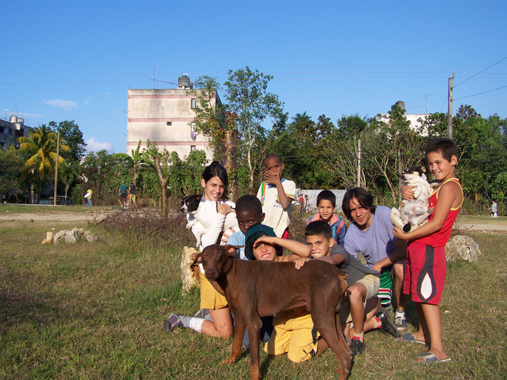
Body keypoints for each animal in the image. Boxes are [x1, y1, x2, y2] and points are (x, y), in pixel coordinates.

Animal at [196, 245, 352, 378]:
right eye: (203, 257)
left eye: (219, 255)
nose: (209, 273)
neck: (231, 274)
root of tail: (339, 273)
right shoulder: (240, 318)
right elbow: (236, 344)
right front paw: (231, 360)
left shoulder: (253, 323)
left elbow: (254, 362)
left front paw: (255, 376)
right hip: (333, 316)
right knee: (348, 353)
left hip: (321, 318)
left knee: (344, 356)